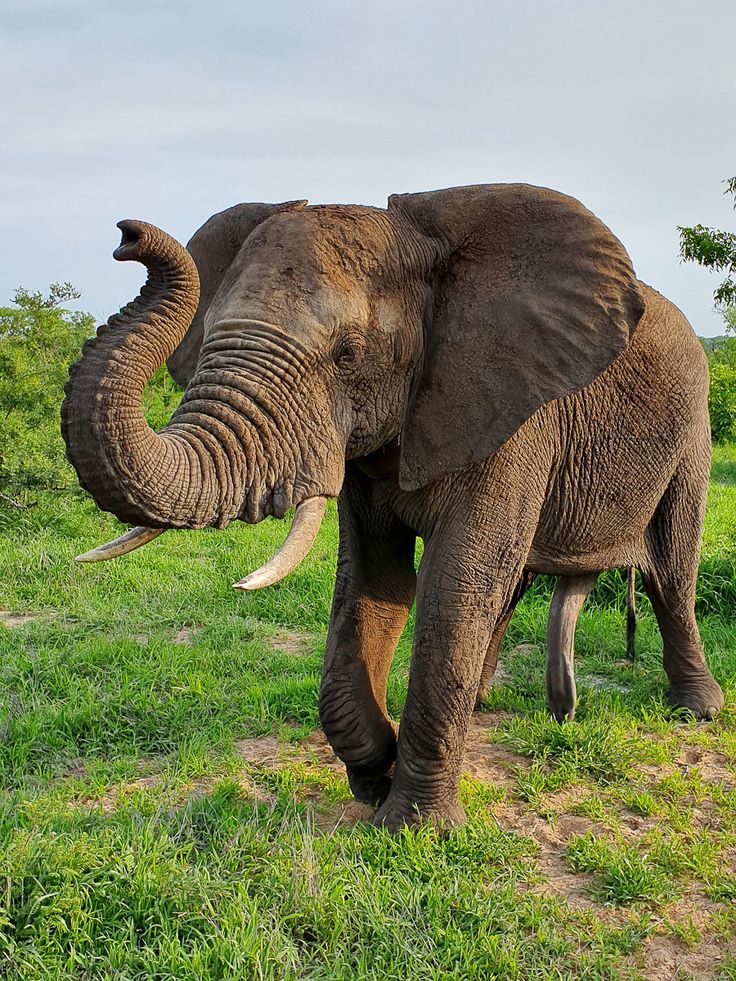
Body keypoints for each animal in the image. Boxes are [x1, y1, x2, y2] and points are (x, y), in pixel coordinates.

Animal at [61, 183, 724, 832]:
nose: (127, 236)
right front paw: (376, 769)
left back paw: (696, 711)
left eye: (347, 355)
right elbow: (377, 578)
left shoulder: (514, 412)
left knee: (670, 571)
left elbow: (455, 582)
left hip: (693, 425)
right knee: (515, 582)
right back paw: (483, 704)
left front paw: (417, 827)